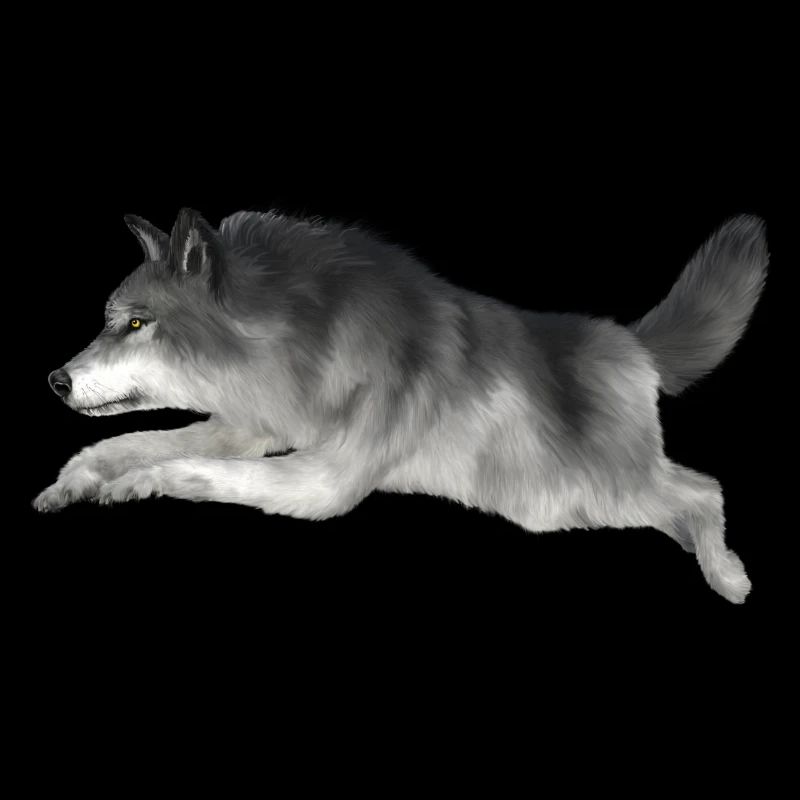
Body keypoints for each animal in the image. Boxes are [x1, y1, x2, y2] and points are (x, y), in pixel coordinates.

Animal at [33, 208, 768, 603]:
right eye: (109, 321)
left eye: (136, 323)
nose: (54, 380)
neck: (305, 339)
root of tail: (633, 344)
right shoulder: (248, 428)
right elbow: (127, 443)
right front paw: (72, 483)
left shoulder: (323, 482)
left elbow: (193, 471)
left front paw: (130, 487)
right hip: (573, 503)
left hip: (588, 494)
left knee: (704, 489)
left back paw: (729, 577)